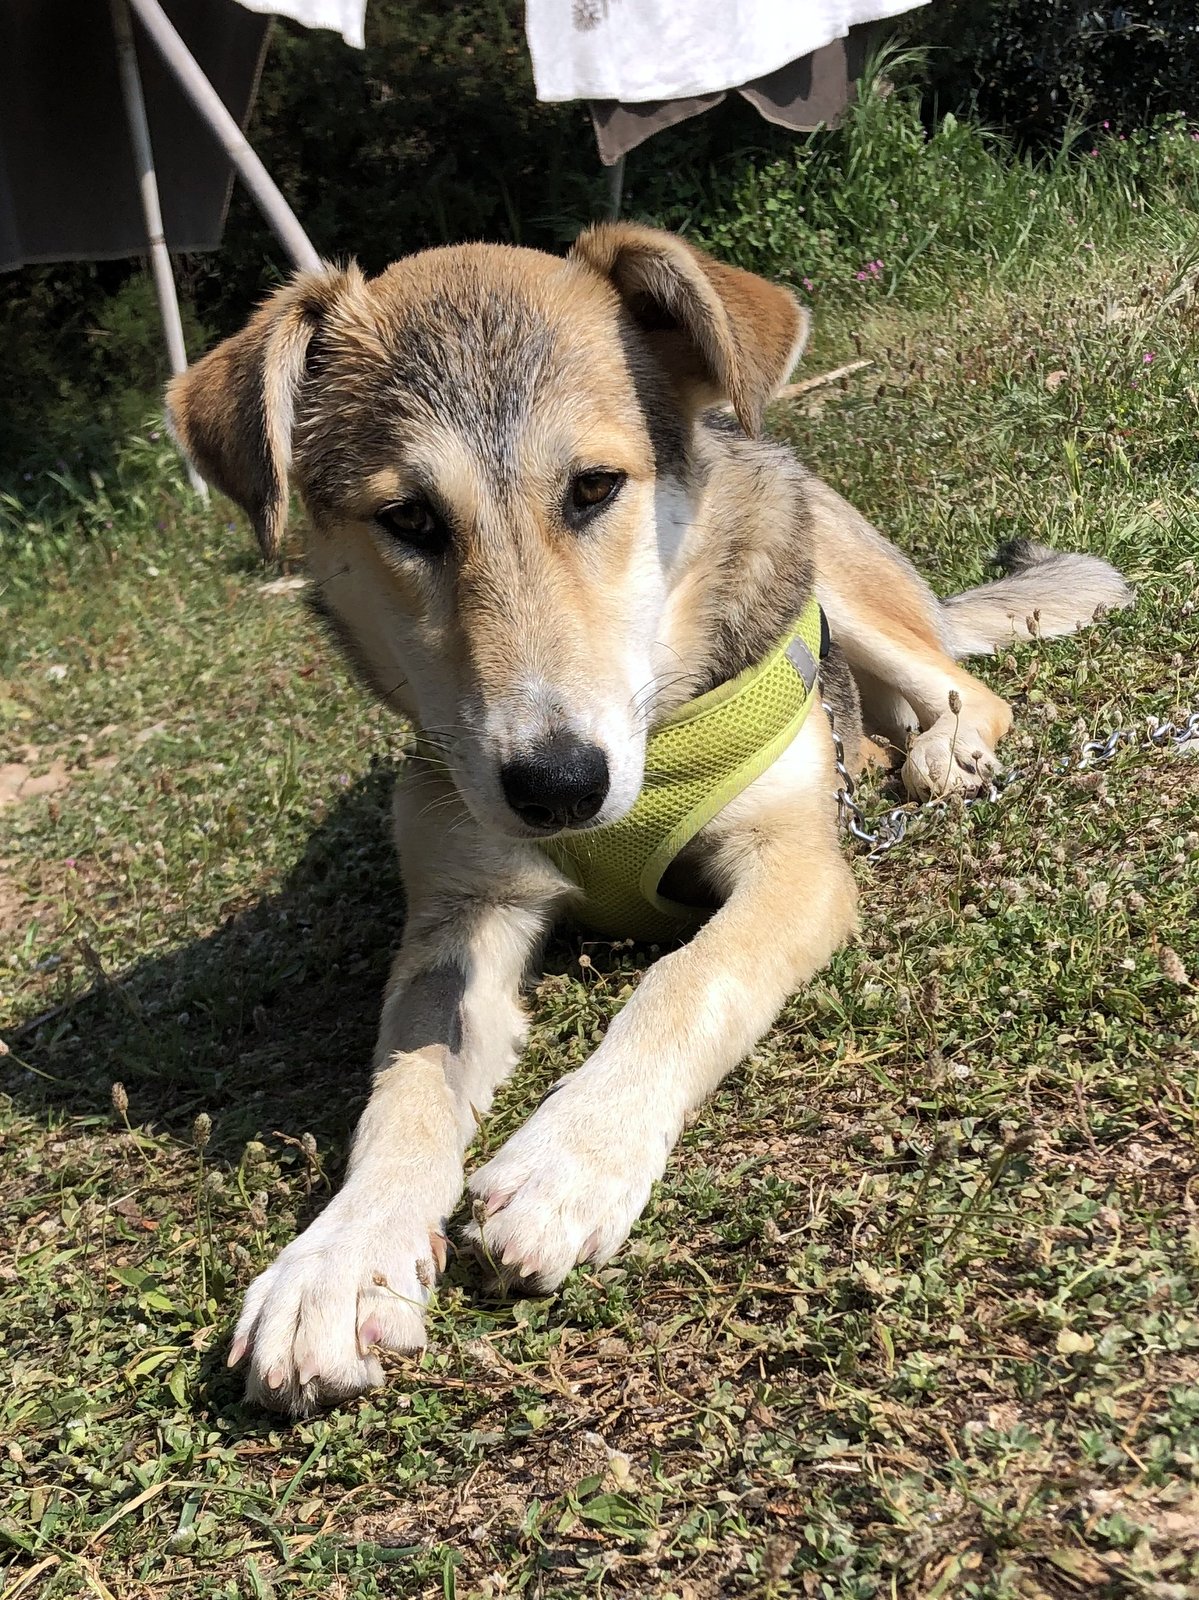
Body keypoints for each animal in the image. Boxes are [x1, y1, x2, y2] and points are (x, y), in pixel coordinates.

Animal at [167, 223, 1131, 1415]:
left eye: (592, 487)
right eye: (409, 520)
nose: (556, 785)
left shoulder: (795, 866)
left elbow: (687, 978)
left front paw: (573, 1156)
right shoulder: (460, 912)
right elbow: (405, 1087)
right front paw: (339, 1260)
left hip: (816, 562)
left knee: (962, 680)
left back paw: (941, 746)